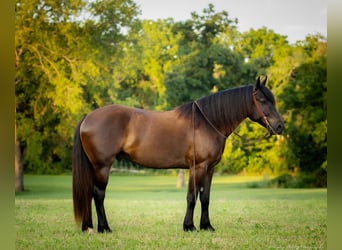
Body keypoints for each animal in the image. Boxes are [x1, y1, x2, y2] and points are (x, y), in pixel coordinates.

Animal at [71, 75, 284, 232]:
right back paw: (104, 228)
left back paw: (89, 227)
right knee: (98, 194)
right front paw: (189, 227)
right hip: (102, 166)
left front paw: (206, 226)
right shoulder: (197, 167)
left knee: (90, 194)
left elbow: (205, 197)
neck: (207, 123)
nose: (280, 126)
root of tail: (88, 117)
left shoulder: (209, 169)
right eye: (262, 100)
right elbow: (191, 197)